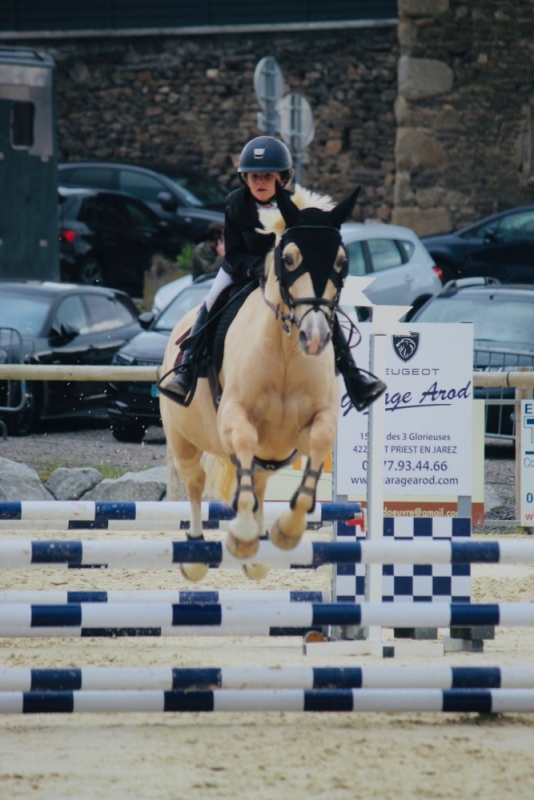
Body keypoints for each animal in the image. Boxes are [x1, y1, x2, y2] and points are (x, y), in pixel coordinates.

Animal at [159, 181, 360, 580]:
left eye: (341, 262)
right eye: (289, 259)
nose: (315, 337)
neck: (285, 356)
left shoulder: (314, 422)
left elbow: (319, 445)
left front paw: (286, 531)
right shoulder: (234, 416)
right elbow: (243, 444)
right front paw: (242, 534)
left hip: (272, 452)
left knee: (261, 479)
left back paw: (259, 549)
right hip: (184, 440)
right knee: (195, 481)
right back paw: (197, 554)